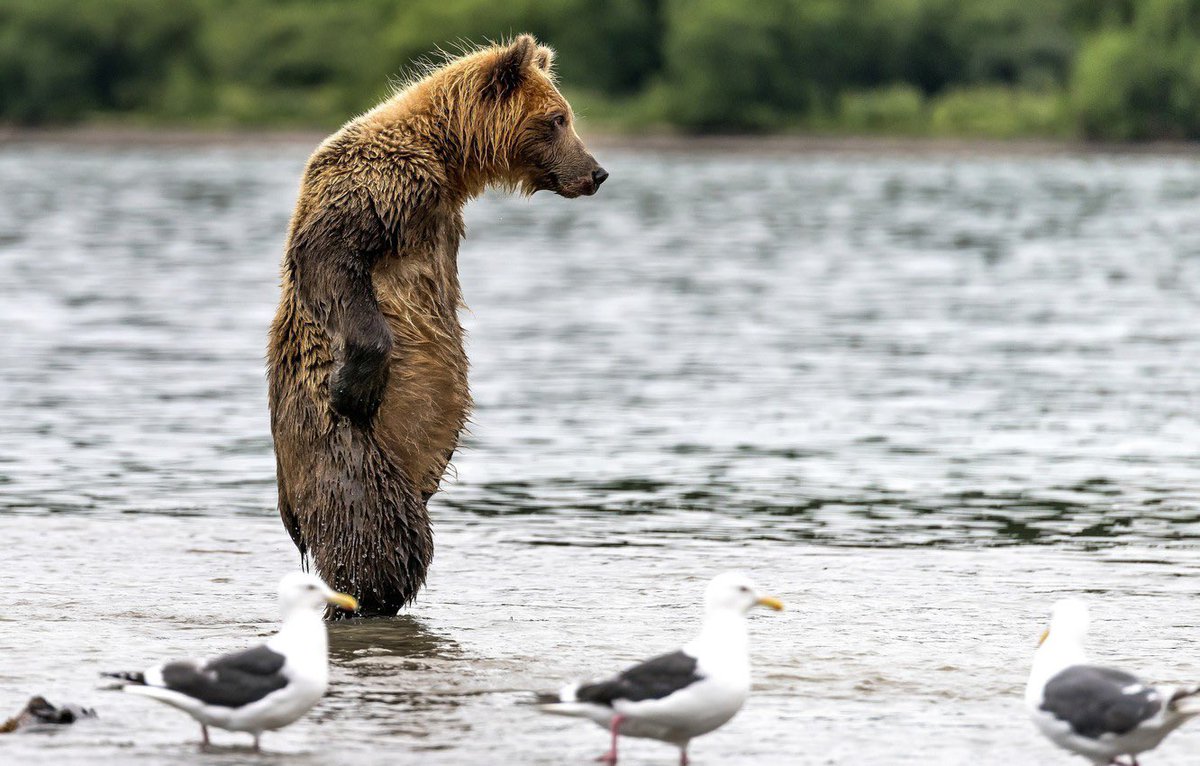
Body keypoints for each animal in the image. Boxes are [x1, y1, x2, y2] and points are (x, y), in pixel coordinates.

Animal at [267, 35, 606, 617]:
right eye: (558, 119)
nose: (596, 172)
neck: (448, 161)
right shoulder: (383, 185)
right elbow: (330, 255)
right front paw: (353, 385)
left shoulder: (439, 214)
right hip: (343, 455)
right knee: (378, 540)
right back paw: (362, 598)